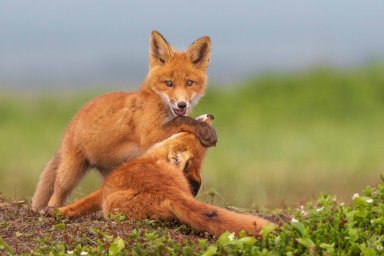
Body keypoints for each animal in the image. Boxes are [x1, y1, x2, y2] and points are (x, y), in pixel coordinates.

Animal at [31, 31, 218, 212]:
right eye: (169, 83)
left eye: (189, 83)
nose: (182, 104)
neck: (158, 102)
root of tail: (72, 121)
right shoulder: (149, 136)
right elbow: (181, 120)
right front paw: (205, 130)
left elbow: (181, 120)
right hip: (70, 172)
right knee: (56, 195)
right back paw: (50, 209)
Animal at [52, 115, 272, 237]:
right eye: (195, 137)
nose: (211, 116)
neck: (152, 158)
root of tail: (168, 191)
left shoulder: (102, 191)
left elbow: (81, 204)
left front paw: (56, 212)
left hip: (114, 207)